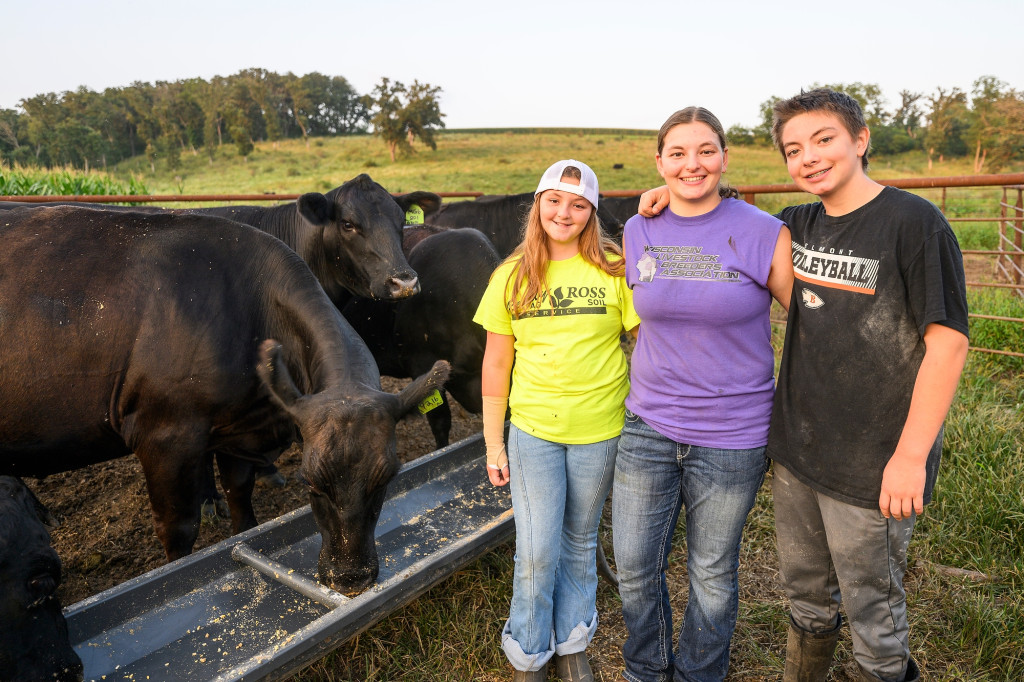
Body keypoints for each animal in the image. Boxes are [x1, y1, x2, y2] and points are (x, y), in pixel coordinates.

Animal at [0, 204, 448, 593]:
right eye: (309, 480)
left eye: (387, 477)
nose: (350, 578)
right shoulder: (164, 436)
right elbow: (178, 528)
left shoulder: (238, 431)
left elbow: (240, 501)